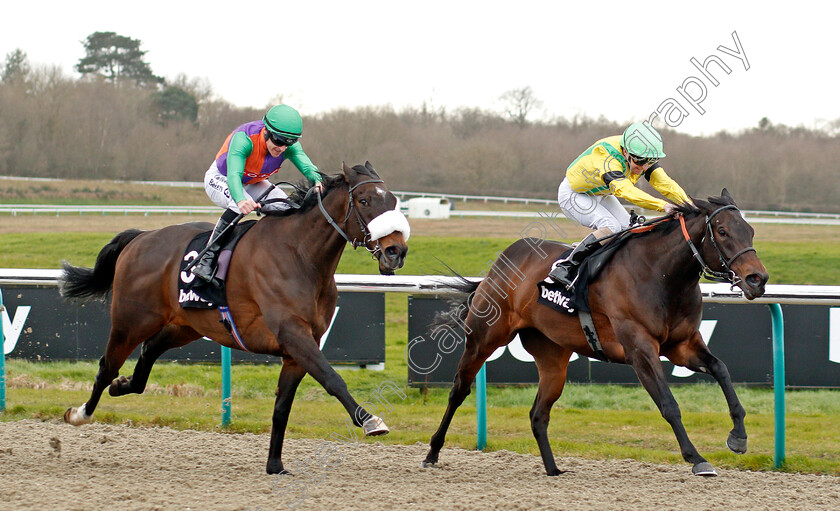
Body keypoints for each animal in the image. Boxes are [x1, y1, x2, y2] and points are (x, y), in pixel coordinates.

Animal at [60, 162, 408, 474]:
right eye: (364, 201)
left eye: (393, 201)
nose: (397, 251)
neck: (300, 256)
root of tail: (140, 238)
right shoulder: (293, 335)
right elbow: (332, 379)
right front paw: (370, 420)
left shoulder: (296, 351)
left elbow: (282, 407)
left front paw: (275, 465)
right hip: (131, 321)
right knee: (107, 366)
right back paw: (80, 413)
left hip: (185, 325)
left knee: (148, 351)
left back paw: (122, 386)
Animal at [424, 190, 772, 478]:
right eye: (723, 232)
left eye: (751, 231)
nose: (757, 279)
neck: (661, 275)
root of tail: (501, 263)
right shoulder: (640, 349)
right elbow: (669, 404)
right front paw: (697, 459)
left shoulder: (682, 345)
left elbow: (721, 370)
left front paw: (738, 437)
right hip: (484, 337)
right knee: (459, 390)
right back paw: (432, 452)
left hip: (552, 356)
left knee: (538, 413)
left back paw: (553, 469)